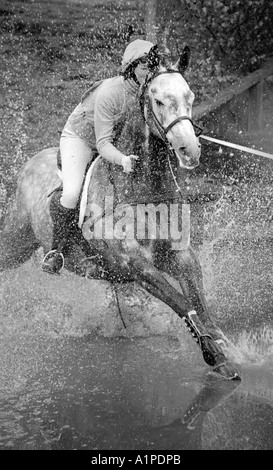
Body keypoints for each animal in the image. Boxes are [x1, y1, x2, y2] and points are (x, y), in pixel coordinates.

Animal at [0, 45, 239, 382]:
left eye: (190, 96)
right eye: (158, 100)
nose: (189, 150)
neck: (143, 190)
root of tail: (31, 162)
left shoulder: (180, 256)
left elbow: (199, 304)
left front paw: (225, 347)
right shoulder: (136, 264)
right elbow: (182, 303)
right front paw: (214, 356)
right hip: (16, 241)